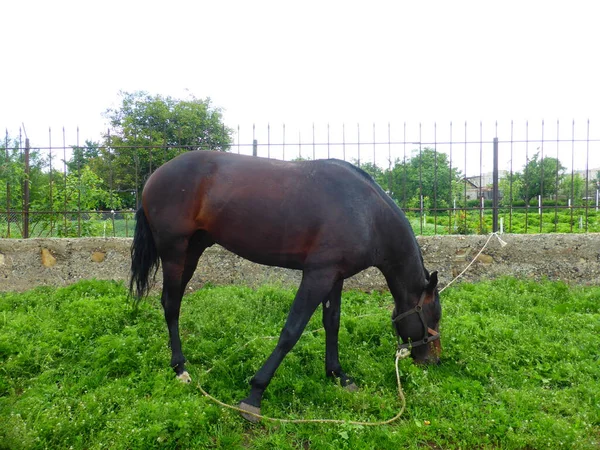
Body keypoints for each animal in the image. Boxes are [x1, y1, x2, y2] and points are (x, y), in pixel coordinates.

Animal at [131, 149, 440, 420]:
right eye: (434, 316)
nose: (433, 361)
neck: (367, 213)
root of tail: (156, 174)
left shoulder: (335, 276)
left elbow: (332, 322)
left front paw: (337, 374)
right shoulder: (317, 275)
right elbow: (291, 331)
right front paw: (254, 395)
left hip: (193, 250)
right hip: (174, 251)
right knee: (171, 305)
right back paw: (180, 368)